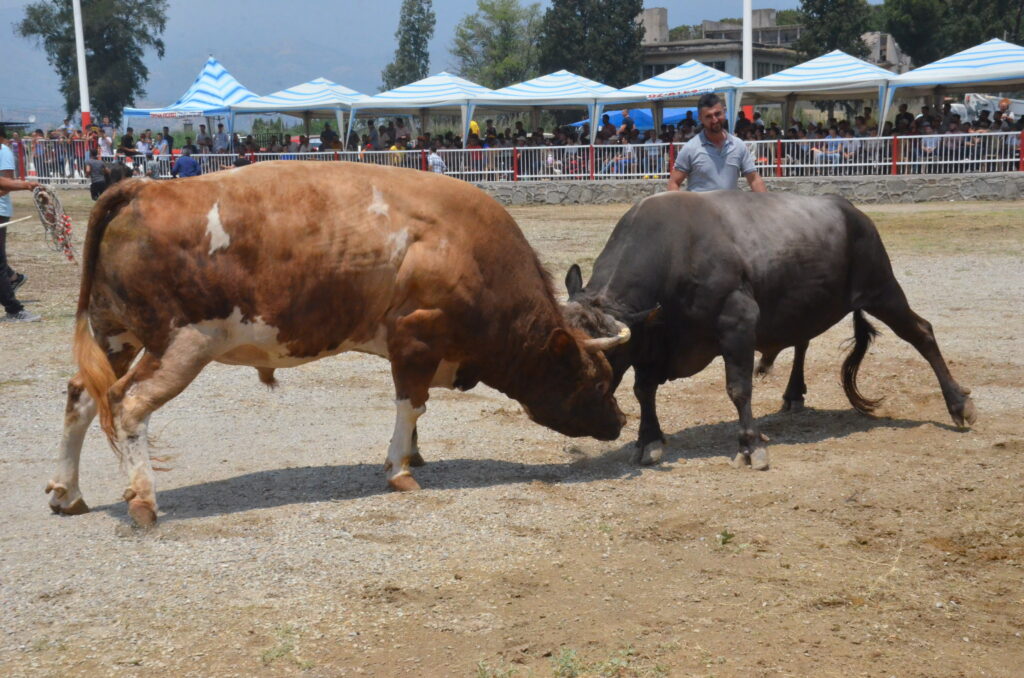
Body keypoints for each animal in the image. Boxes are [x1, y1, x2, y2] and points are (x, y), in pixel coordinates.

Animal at [51, 163, 626, 524]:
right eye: (598, 382)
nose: (621, 422)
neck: (469, 250)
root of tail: (145, 188)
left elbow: (415, 412)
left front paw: (414, 454)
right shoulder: (415, 338)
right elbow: (411, 404)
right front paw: (400, 470)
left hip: (115, 337)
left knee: (82, 397)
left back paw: (68, 492)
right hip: (179, 345)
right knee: (128, 405)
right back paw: (142, 501)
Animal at [569, 188, 974, 471]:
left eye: (596, 367)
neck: (676, 252)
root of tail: (851, 210)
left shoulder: (738, 322)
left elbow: (738, 388)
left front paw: (751, 446)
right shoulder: (651, 342)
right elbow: (644, 390)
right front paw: (648, 441)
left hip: (882, 288)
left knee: (922, 332)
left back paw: (959, 405)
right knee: (803, 340)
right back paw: (794, 394)